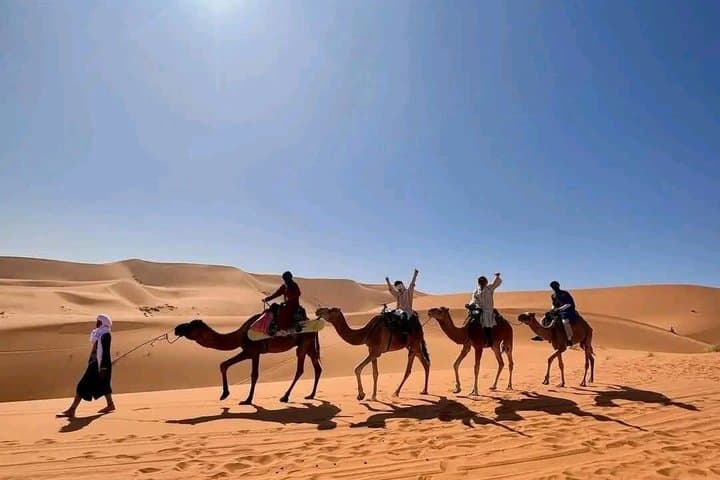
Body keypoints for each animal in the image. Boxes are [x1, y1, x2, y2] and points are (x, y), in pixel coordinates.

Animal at [174, 316, 321, 404]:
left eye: (191, 325)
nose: (177, 328)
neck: (240, 335)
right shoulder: (249, 352)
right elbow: (224, 364)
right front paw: (224, 394)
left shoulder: (254, 351)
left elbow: (254, 375)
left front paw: (247, 400)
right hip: (309, 344)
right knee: (317, 367)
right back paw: (311, 395)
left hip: (304, 343)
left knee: (300, 369)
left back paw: (285, 396)